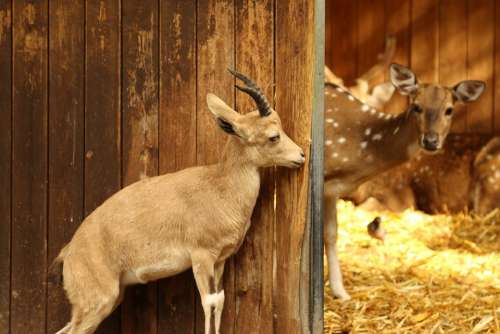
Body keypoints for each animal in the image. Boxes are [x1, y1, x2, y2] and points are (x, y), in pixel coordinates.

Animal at [52, 71, 306, 334]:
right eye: (273, 136)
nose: (300, 155)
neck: (220, 188)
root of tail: (69, 252)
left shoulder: (220, 261)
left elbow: (220, 301)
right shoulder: (201, 257)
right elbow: (209, 303)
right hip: (97, 302)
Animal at [324, 63, 484, 300]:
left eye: (449, 109)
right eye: (416, 106)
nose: (431, 141)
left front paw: (340, 291)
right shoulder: (325, 180)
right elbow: (327, 235)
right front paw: (337, 292)